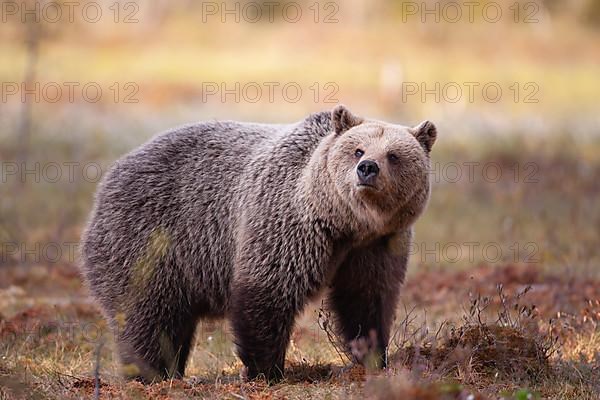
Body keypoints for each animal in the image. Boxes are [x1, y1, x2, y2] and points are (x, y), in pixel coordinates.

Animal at [79, 104, 436, 382]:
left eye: (393, 155)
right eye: (357, 149)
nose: (367, 168)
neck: (345, 224)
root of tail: (110, 177)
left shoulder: (377, 245)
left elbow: (365, 298)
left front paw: (373, 356)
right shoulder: (286, 224)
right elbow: (268, 291)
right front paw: (266, 369)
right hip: (150, 240)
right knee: (149, 314)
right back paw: (151, 372)